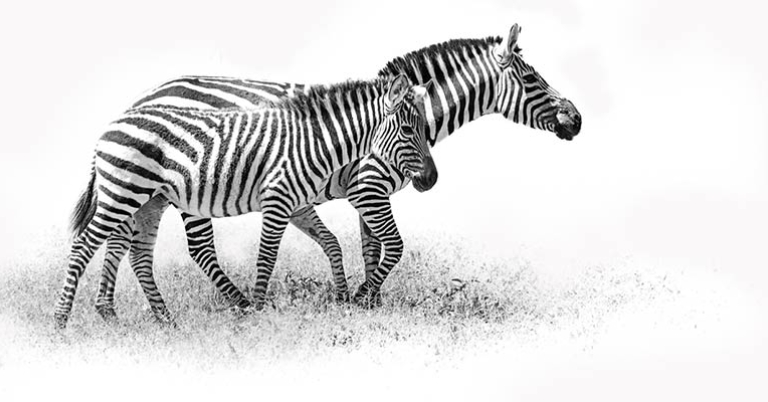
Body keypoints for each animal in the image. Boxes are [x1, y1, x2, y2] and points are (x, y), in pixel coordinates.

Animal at [54, 74, 438, 329]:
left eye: (425, 128)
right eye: (408, 130)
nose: (431, 180)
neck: (315, 143)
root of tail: (113, 123)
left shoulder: (296, 203)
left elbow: (333, 243)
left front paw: (347, 298)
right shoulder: (280, 200)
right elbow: (266, 257)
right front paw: (258, 308)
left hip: (147, 199)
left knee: (137, 253)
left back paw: (163, 319)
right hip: (123, 192)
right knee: (85, 244)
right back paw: (61, 320)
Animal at [93, 23, 582, 319]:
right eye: (533, 80)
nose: (576, 120)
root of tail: (146, 96)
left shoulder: (368, 192)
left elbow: (370, 247)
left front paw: (369, 303)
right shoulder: (369, 186)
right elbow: (390, 247)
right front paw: (364, 299)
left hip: (149, 191)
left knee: (122, 241)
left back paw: (116, 312)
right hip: (184, 189)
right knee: (193, 249)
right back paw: (236, 306)